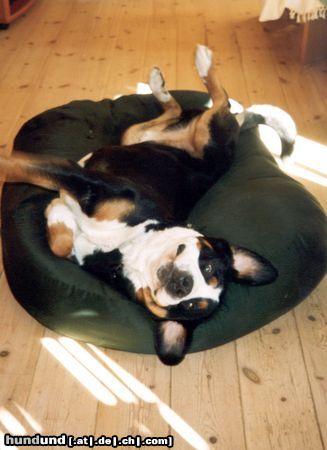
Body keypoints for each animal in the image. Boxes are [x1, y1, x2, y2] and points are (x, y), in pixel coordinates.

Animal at [0, 44, 298, 366]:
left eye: (191, 307)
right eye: (207, 266)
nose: (183, 285)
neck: (126, 246)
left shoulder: (85, 188)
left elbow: (54, 230)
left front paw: (56, 213)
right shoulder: (89, 183)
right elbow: (28, 179)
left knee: (212, 104)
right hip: (181, 135)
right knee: (215, 101)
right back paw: (187, 70)